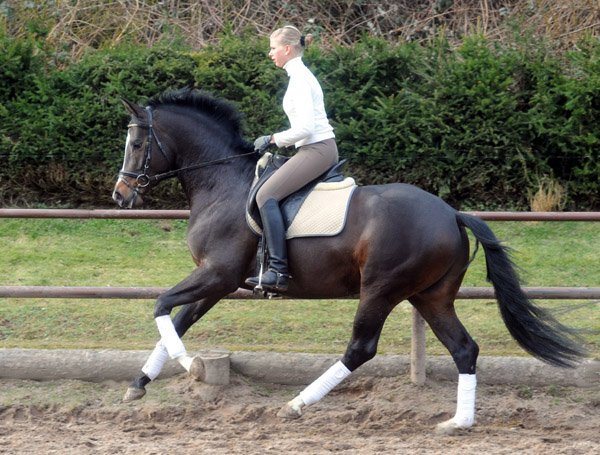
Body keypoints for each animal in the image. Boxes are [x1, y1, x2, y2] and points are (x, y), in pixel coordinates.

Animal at [110, 88, 584, 434]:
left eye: (136, 142)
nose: (120, 195)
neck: (222, 183)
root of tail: (452, 213)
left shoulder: (217, 274)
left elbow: (162, 307)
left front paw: (190, 366)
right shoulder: (220, 280)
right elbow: (178, 318)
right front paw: (138, 385)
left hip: (381, 288)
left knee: (361, 348)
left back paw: (296, 404)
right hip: (431, 296)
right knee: (464, 348)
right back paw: (457, 423)